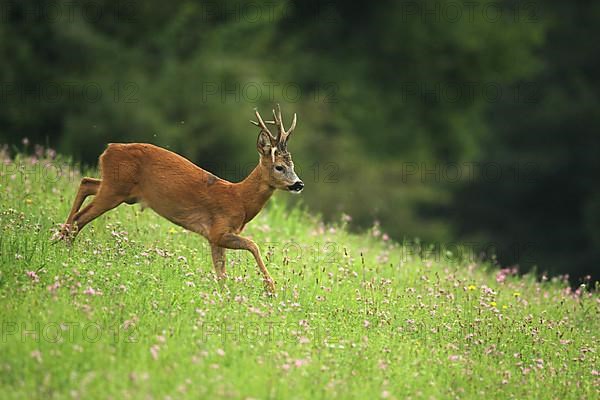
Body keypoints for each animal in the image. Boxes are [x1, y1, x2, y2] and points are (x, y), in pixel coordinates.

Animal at [58, 104, 302, 294]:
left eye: (293, 166)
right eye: (279, 167)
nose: (299, 184)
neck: (240, 200)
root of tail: (109, 149)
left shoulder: (214, 238)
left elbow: (221, 274)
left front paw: (226, 298)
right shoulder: (218, 230)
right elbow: (253, 245)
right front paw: (270, 287)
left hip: (121, 191)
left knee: (86, 183)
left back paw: (59, 238)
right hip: (115, 190)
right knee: (81, 216)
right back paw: (65, 247)